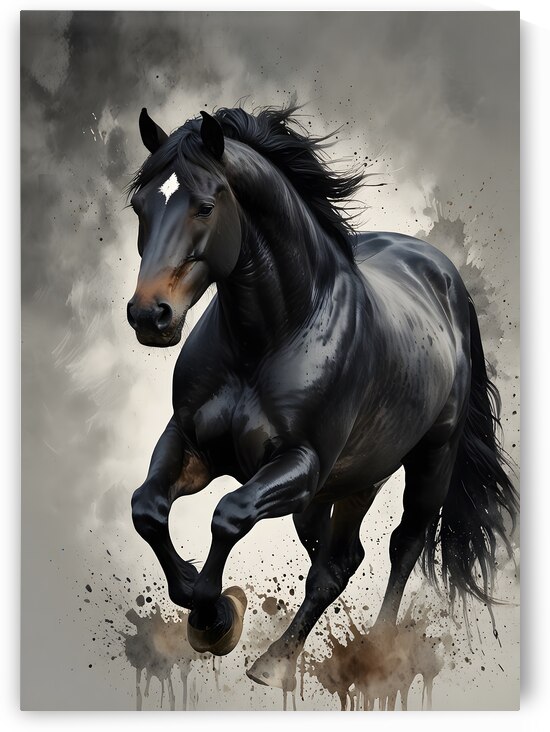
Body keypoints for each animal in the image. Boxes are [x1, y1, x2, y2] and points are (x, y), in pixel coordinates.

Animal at [126, 105, 518, 692]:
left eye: (205, 206)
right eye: (139, 205)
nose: (150, 316)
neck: (269, 339)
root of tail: (443, 275)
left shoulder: (301, 465)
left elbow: (228, 514)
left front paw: (215, 615)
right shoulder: (191, 444)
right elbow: (147, 509)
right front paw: (204, 604)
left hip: (429, 460)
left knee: (401, 544)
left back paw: (367, 654)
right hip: (353, 479)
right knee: (338, 561)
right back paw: (279, 659)